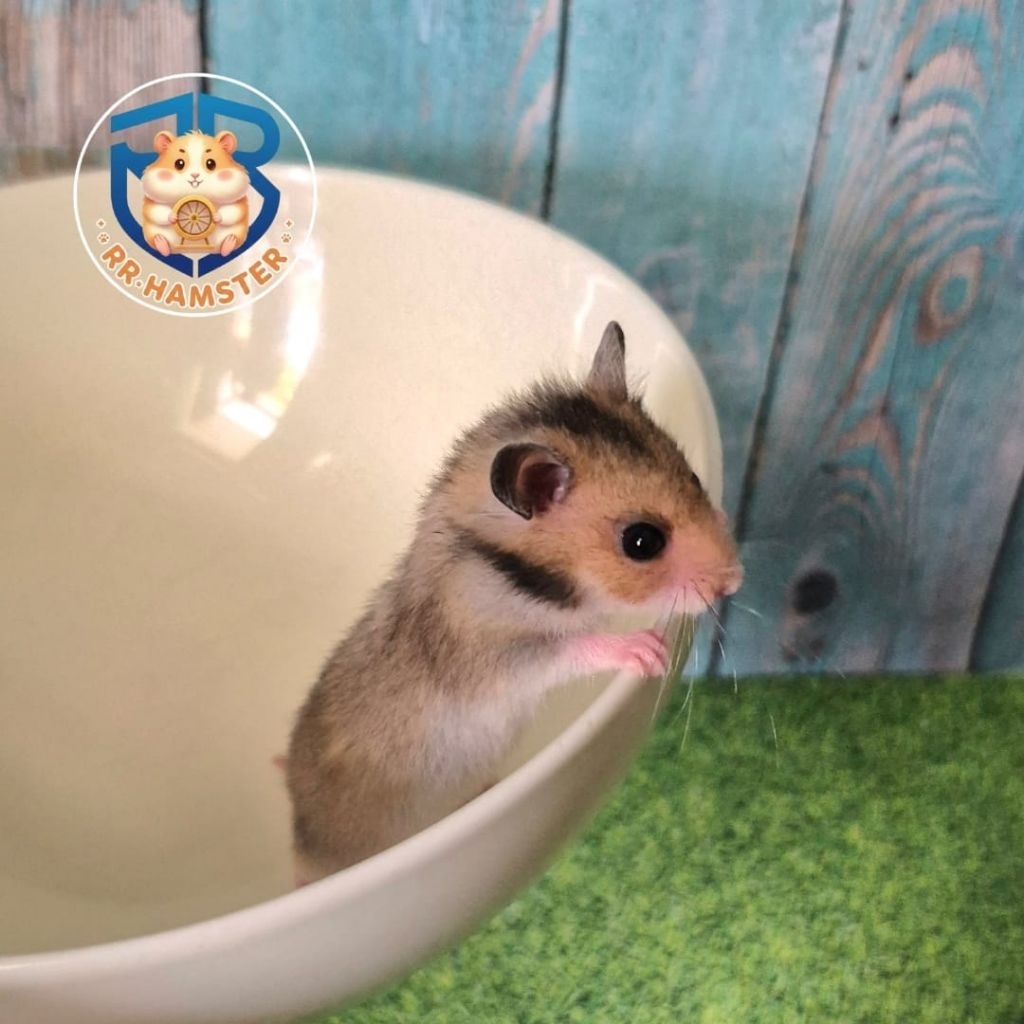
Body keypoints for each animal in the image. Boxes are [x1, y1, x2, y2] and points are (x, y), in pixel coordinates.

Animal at [140, 129, 250, 258]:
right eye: (179, 163)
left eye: (211, 163)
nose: (195, 175)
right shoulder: (153, 203)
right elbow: (157, 211)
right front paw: (173, 217)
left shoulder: (236, 203)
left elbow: (232, 211)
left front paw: (216, 217)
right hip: (154, 232)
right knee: (159, 242)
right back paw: (162, 243)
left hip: (236, 233)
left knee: (231, 241)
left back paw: (228, 243)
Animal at [283, 322, 743, 884]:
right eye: (642, 542)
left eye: (695, 479)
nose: (735, 581)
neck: (519, 573)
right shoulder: (499, 654)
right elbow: (570, 646)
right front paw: (647, 652)